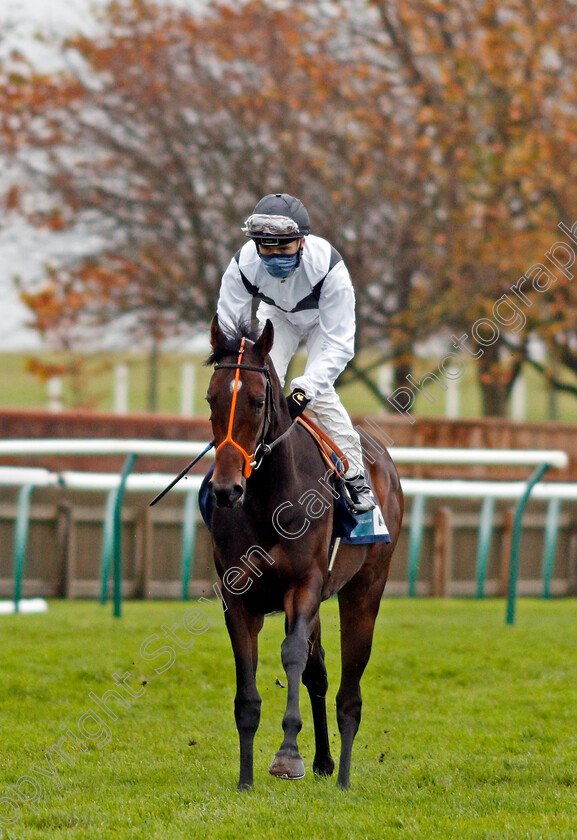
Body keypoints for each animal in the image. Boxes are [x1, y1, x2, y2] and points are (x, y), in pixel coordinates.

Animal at [205, 314, 402, 788]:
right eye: (211, 399)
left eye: (258, 401)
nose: (225, 489)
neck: (269, 499)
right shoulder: (238, 597)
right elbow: (249, 689)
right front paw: (245, 779)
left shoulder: (304, 584)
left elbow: (291, 655)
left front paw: (288, 755)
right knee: (320, 673)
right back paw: (325, 762)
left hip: (364, 590)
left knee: (349, 692)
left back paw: (344, 775)